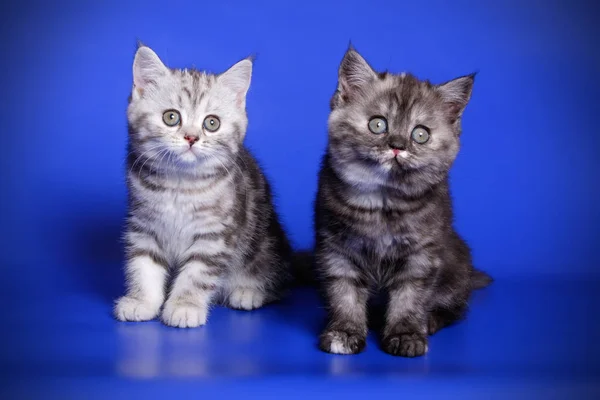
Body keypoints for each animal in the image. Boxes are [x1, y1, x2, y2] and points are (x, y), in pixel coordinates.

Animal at [115, 46, 292, 328]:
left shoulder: (215, 235)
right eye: (171, 117)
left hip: (266, 244)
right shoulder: (144, 224)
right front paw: (142, 301)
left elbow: (197, 273)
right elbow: (143, 264)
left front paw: (184, 306)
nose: (191, 137)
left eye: (211, 123)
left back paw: (249, 292)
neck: (179, 183)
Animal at [314, 47, 492, 356]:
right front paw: (344, 331)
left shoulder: (422, 256)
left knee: (457, 308)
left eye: (420, 134)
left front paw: (406, 334)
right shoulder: (336, 250)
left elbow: (410, 297)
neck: (383, 203)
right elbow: (344, 292)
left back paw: (431, 321)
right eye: (378, 124)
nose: (397, 145)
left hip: (458, 267)